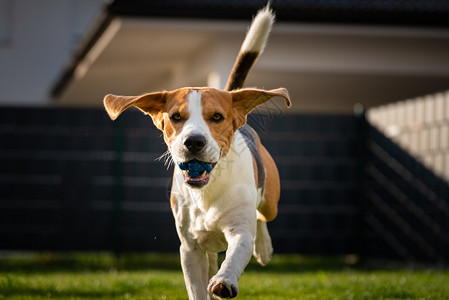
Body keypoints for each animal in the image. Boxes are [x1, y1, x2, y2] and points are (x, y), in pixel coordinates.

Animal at [103, 5, 288, 298]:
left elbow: (235, 253)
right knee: (213, 257)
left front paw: (224, 281)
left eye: (217, 117)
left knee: (262, 218)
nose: (194, 142)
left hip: (270, 202)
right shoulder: (190, 250)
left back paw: (263, 247)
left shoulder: (239, 232)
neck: (207, 191)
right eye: (176, 117)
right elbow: (196, 287)